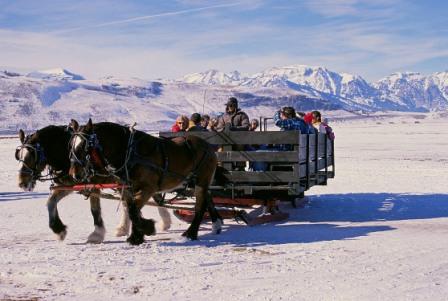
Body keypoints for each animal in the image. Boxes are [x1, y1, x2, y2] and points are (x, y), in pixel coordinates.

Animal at [68, 118, 222, 245]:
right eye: (71, 146)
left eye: (84, 146)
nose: (75, 174)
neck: (128, 152)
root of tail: (208, 145)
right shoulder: (128, 188)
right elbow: (131, 210)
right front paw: (139, 233)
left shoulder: (148, 188)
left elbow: (133, 210)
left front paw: (143, 232)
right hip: (196, 182)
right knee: (208, 198)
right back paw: (216, 224)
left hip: (201, 181)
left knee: (200, 206)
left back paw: (191, 233)